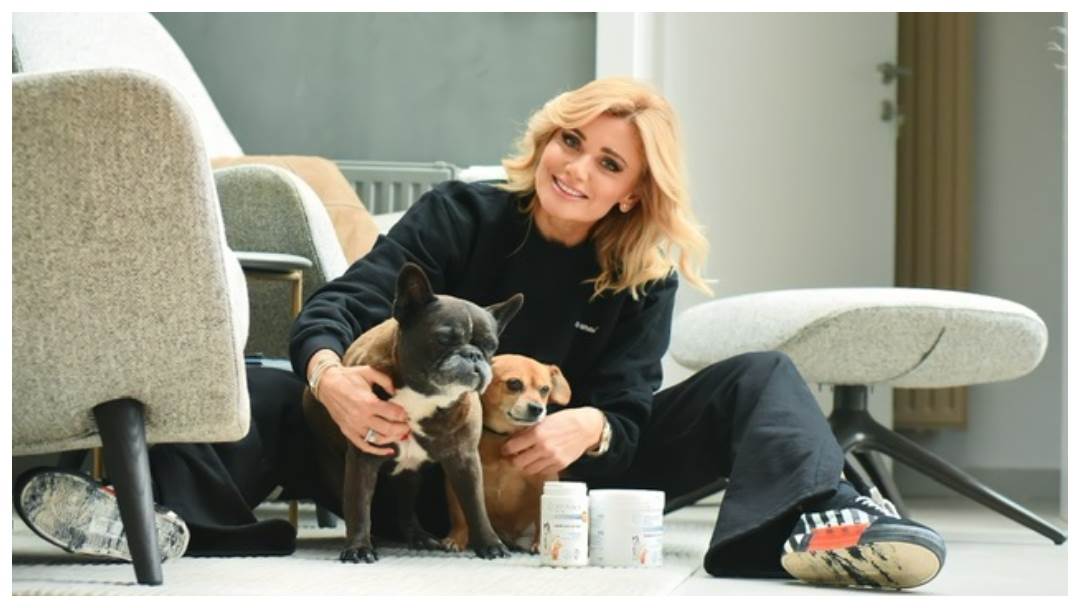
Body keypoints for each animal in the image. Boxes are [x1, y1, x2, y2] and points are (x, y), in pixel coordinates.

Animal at [302, 262, 524, 563]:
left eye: (490, 346)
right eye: (444, 339)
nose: (473, 355)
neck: (424, 395)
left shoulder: (465, 460)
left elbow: (476, 505)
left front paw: (490, 544)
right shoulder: (363, 459)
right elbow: (359, 505)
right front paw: (358, 548)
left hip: (409, 474)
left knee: (406, 508)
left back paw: (418, 537)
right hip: (336, 466)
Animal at [442, 354, 571, 553]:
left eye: (545, 389)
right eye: (514, 383)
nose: (537, 408)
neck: (502, 438)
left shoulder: (543, 481)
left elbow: (542, 514)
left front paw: (540, 543)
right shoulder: (458, 480)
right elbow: (459, 514)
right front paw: (456, 538)